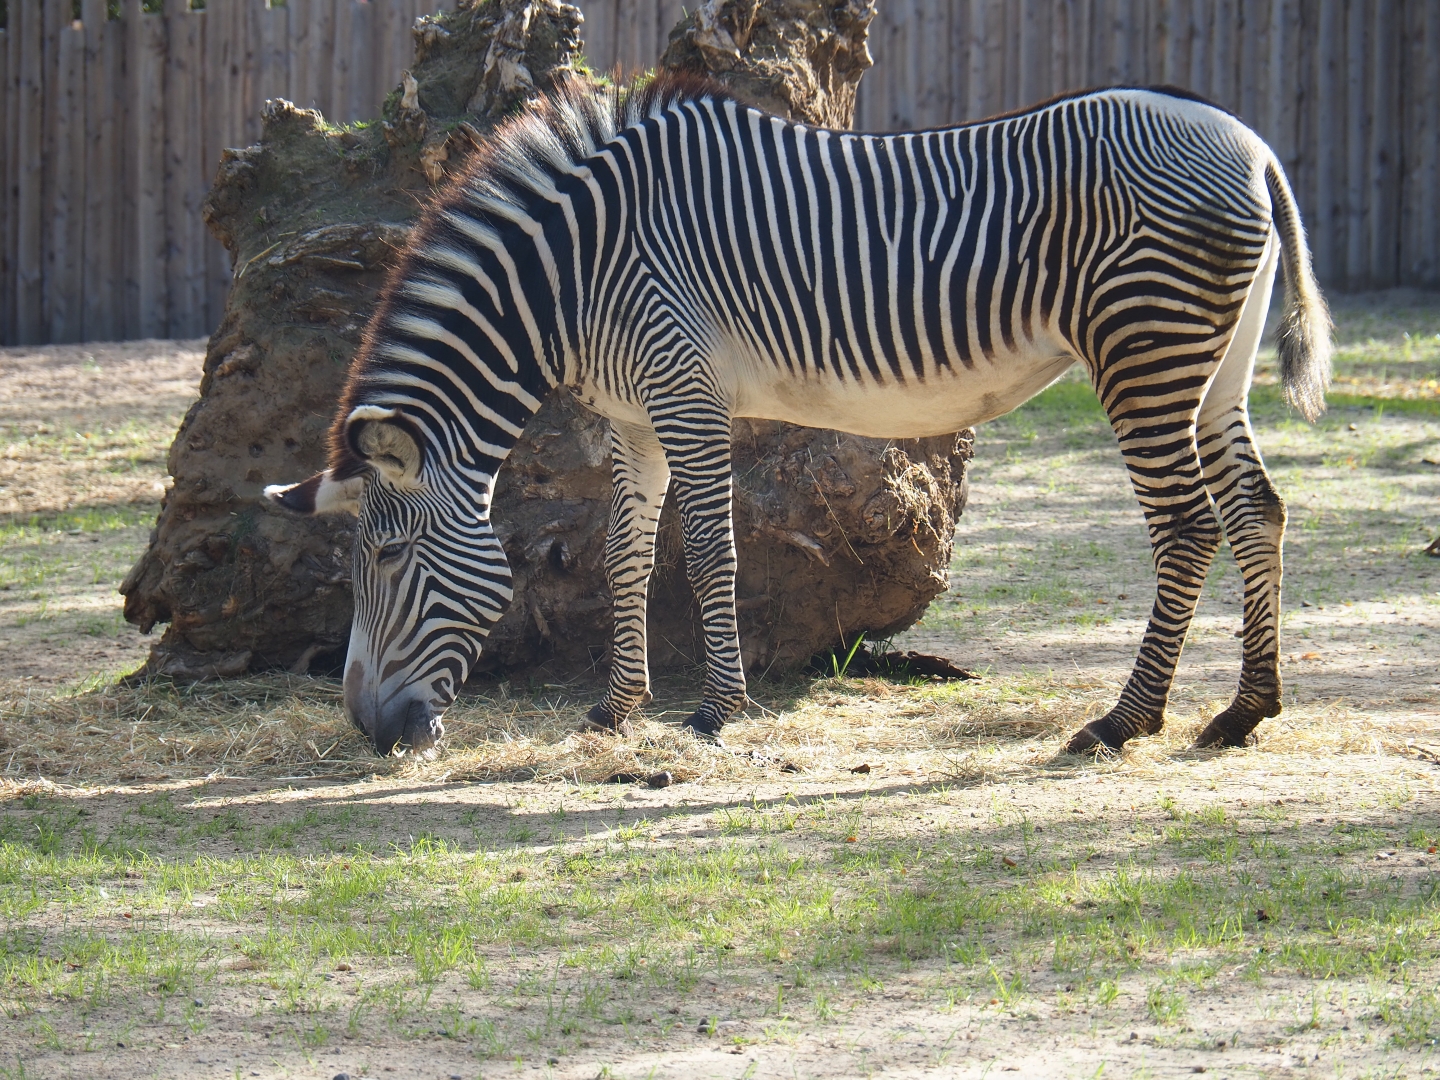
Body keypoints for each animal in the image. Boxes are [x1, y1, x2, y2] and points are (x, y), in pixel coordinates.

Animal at [266, 73, 1330, 758]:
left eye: (386, 558)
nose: (370, 734)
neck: (575, 268)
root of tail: (1250, 143)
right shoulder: (633, 419)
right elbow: (626, 556)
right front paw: (616, 712)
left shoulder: (686, 394)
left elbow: (708, 550)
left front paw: (716, 711)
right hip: (1212, 369)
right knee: (1258, 510)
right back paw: (1246, 711)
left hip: (1143, 351)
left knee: (1187, 525)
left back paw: (1124, 721)